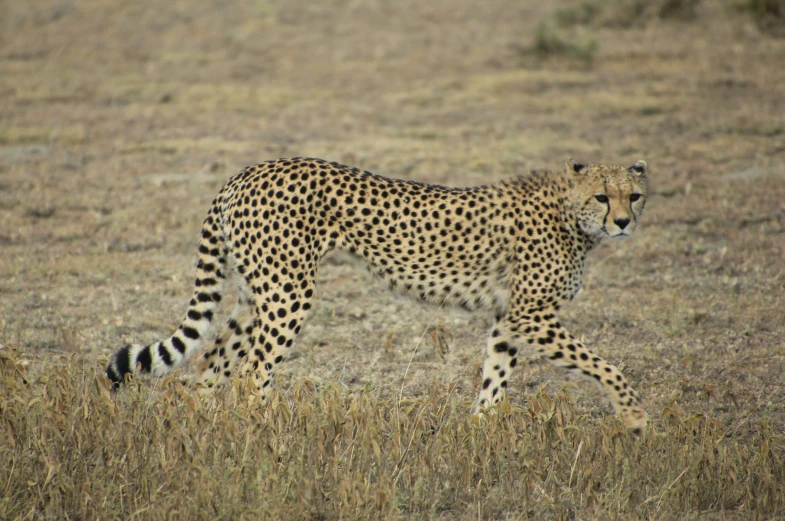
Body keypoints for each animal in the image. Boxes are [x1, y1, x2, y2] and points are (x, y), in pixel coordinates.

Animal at [108, 156, 648, 428]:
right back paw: (265, 437)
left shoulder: (508, 318)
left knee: (210, 365)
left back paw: (208, 437)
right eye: (602, 196)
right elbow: (607, 366)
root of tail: (247, 172)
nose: (624, 222)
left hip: (253, 294)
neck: (570, 214)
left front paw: (479, 435)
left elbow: (495, 380)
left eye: (635, 195)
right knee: (252, 373)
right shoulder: (530, 315)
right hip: (288, 293)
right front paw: (636, 419)